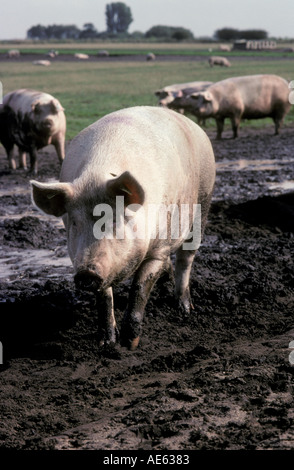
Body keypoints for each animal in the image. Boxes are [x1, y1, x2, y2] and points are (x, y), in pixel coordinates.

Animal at [31, 105, 216, 348]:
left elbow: (139, 287)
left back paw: (185, 310)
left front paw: (130, 344)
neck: (96, 174)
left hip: (203, 202)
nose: (86, 273)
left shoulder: (159, 248)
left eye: (114, 220)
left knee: (186, 258)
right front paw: (107, 343)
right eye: (75, 223)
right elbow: (104, 297)